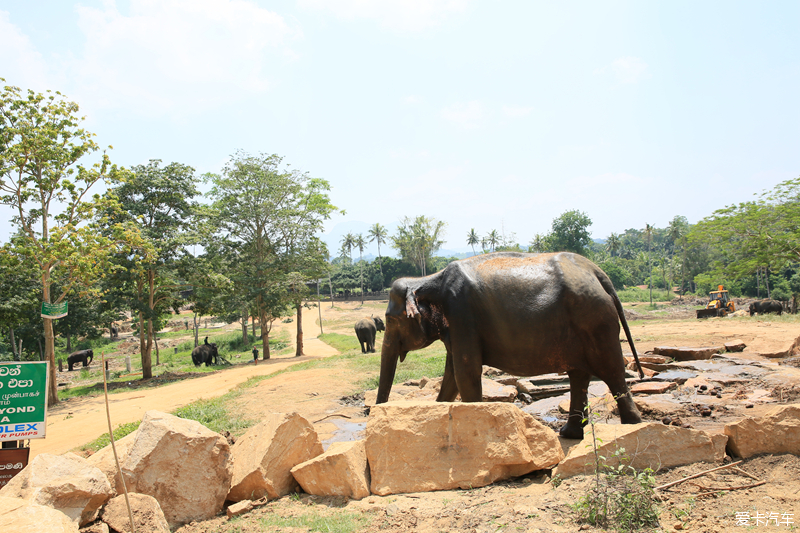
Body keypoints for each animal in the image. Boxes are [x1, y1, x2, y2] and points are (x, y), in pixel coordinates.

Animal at [378, 251, 648, 438]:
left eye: (390, 319)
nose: (375, 413)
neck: (428, 279)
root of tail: (597, 272)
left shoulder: (462, 316)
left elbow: (466, 372)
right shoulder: (456, 327)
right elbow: (453, 375)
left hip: (594, 319)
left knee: (611, 371)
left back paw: (633, 426)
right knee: (579, 376)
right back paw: (569, 434)